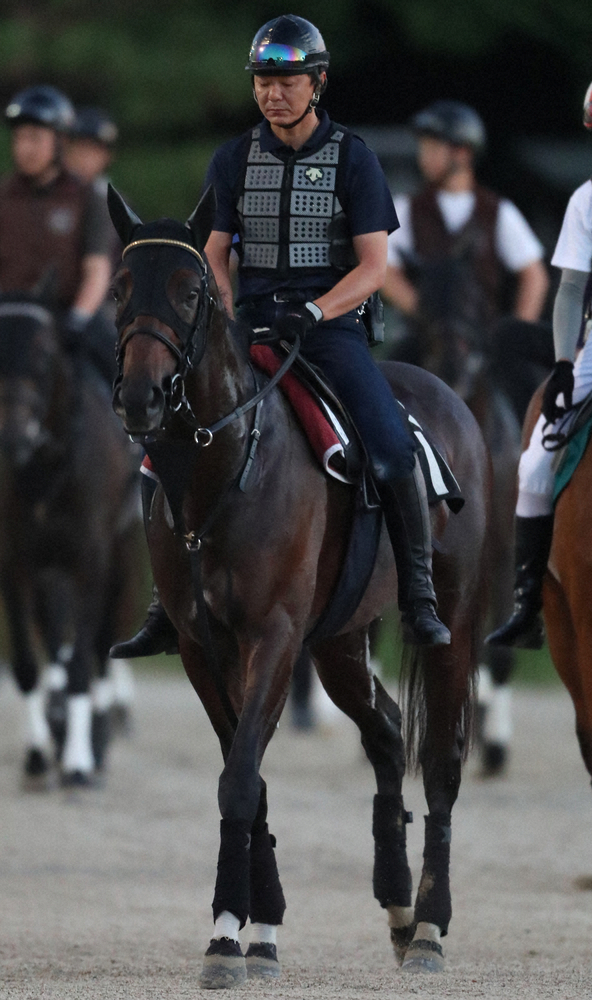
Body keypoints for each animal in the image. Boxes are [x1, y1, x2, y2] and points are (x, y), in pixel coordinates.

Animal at [108, 186, 488, 984]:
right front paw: (254, 928)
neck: (221, 466)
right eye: (121, 288)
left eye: (191, 292)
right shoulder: (205, 648)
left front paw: (230, 935)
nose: (141, 397)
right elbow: (245, 774)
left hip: (452, 624)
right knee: (384, 734)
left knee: (440, 761)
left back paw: (429, 927)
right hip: (340, 642)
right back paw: (398, 906)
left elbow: (241, 776)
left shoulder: (274, 638)